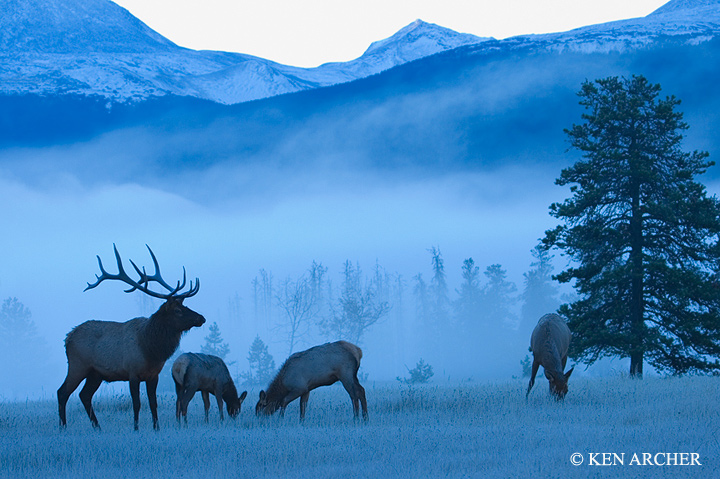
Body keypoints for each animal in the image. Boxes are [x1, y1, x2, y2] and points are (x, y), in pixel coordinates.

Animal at [57, 245, 206, 430]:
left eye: (185, 306)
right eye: (178, 310)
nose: (201, 318)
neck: (150, 349)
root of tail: (67, 338)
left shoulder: (153, 375)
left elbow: (153, 403)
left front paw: (156, 428)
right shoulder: (132, 373)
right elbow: (137, 404)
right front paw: (136, 428)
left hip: (95, 373)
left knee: (84, 395)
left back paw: (98, 427)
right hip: (78, 365)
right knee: (62, 392)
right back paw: (63, 427)